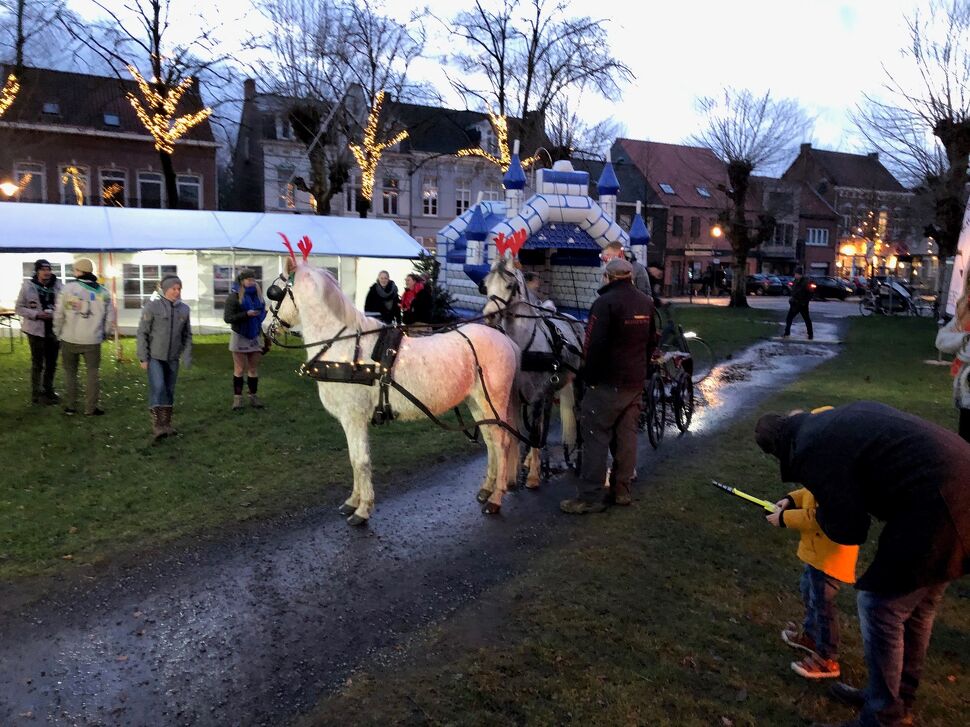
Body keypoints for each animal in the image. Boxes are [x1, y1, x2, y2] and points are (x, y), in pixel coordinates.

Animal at [264, 264, 520, 528]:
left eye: (274, 292)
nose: (264, 327)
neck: (344, 349)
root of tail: (505, 339)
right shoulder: (351, 420)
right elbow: (354, 459)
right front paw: (353, 501)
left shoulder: (354, 417)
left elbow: (361, 461)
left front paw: (363, 509)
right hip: (477, 403)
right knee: (490, 441)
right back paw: (487, 488)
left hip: (493, 401)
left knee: (502, 443)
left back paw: (496, 498)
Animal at [478, 256, 580, 490]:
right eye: (486, 285)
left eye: (509, 285)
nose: (489, 316)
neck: (522, 347)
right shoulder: (515, 396)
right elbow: (516, 433)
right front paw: (513, 475)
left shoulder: (537, 395)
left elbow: (532, 432)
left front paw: (533, 477)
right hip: (551, 390)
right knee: (545, 421)